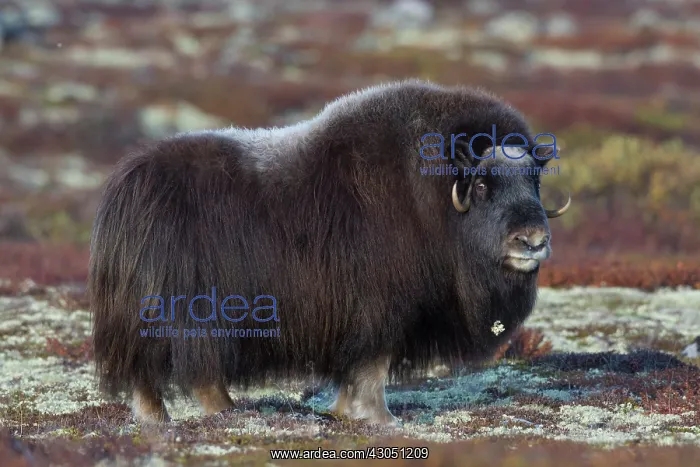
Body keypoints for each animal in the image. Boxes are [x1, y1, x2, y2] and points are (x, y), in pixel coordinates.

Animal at [88, 79, 570, 426]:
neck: (429, 200)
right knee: (186, 368)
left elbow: (354, 369)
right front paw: (383, 420)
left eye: (535, 181)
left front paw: (342, 412)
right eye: (484, 184)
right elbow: (373, 367)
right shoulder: (380, 309)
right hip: (190, 312)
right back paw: (214, 413)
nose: (533, 241)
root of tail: (125, 184)